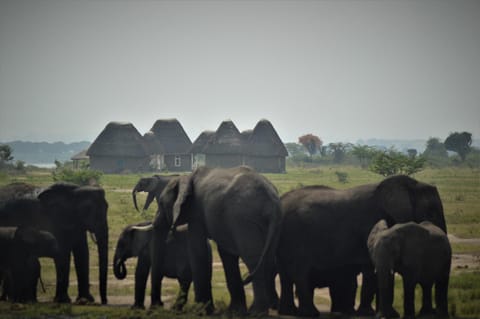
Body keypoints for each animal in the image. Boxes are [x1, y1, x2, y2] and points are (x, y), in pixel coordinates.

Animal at [152, 166, 284, 316]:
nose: (159, 306)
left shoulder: (196, 213)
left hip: (245, 220)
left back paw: (256, 313)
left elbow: (198, 249)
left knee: (253, 260)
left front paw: (201, 311)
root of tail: (271, 202)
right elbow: (226, 254)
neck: (185, 178)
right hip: (273, 223)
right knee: (268, 260)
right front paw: (233, 311)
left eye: (161, 203)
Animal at [278, 175, 446, 318]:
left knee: (286, 276)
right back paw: (309, 314)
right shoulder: (369, 223)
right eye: (432, 211)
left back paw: (289, 312)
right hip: (296, 236)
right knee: (300, 272)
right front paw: (369, 314)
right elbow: (371, 269)